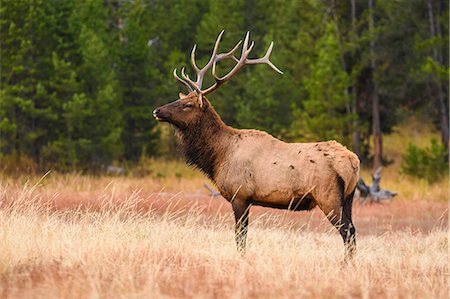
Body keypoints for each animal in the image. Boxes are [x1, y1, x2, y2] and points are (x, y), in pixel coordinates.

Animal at [153, 31, 360, 260]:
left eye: (188, 104)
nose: (157, 110)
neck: (217, 157)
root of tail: (353, 161)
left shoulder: (240, 195)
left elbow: (240, 237)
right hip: (349, 197)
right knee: (352, 230)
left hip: (328, 196)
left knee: (347, 231)